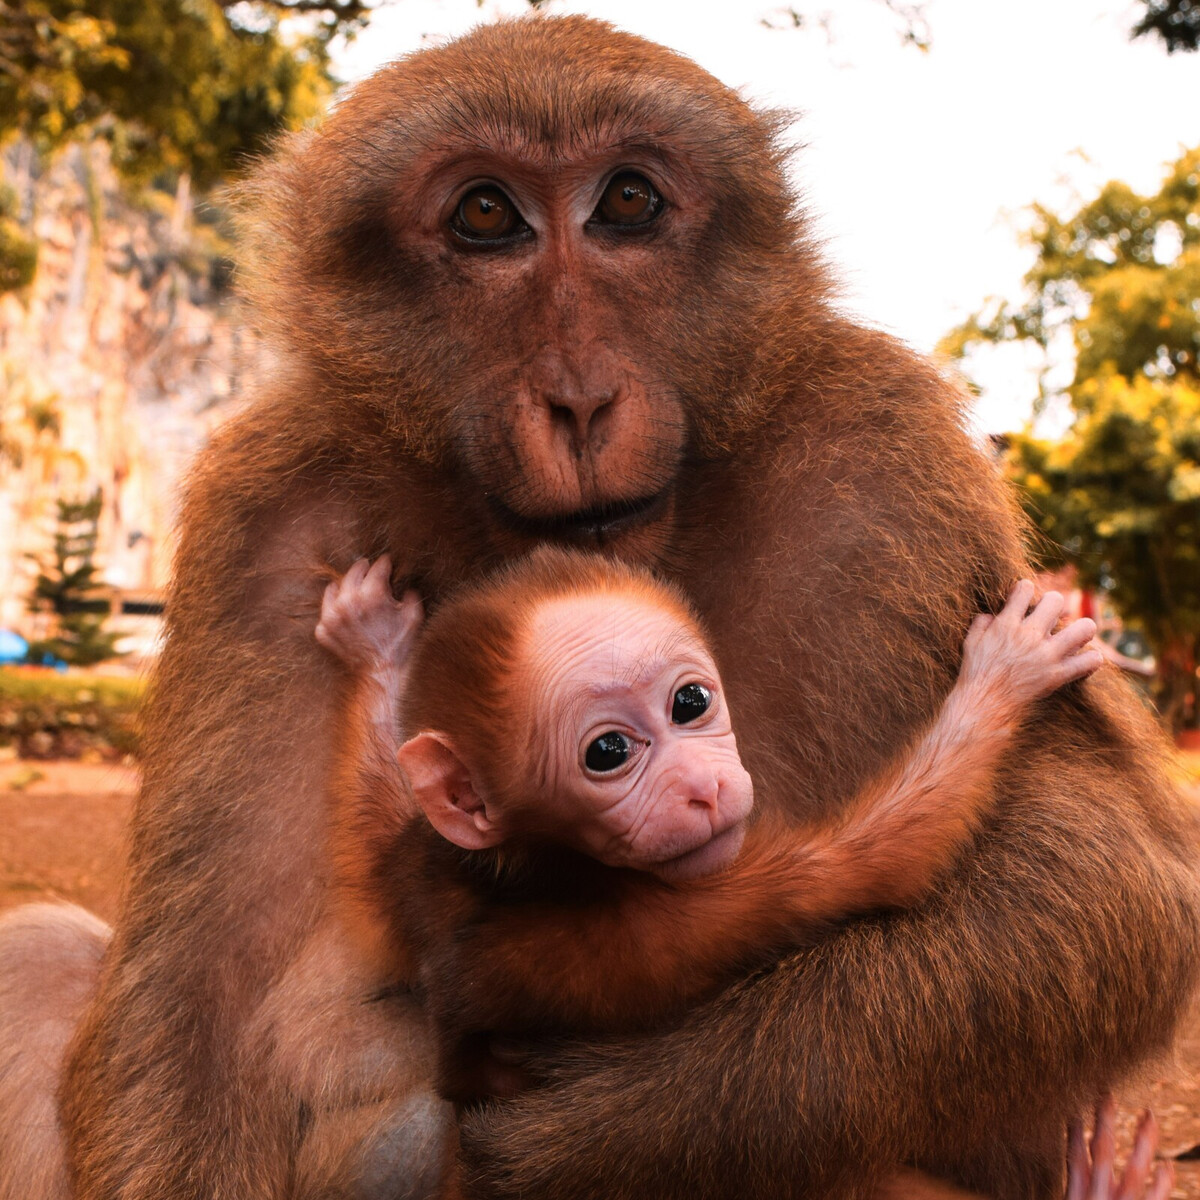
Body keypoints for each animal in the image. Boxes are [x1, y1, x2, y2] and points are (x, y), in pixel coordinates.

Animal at [316, 549, 1099, 1099]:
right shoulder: (649, 926)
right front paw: (1006, 673)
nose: (701, 788)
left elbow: (376, 872)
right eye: (608, 753)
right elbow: (880, 864)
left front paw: (374, 642)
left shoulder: (417, 873)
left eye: (689, 702)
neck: (534, 868)